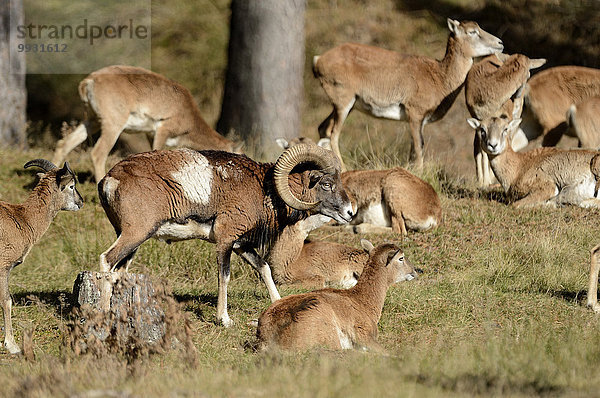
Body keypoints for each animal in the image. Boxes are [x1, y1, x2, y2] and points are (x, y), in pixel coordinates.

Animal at [0, 160, 83, 352]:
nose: (80, 202)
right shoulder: (3, 267)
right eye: (71, 186)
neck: (22, 218)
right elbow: (6, 300)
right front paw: (12, 346)